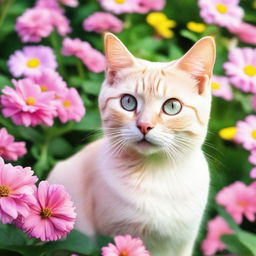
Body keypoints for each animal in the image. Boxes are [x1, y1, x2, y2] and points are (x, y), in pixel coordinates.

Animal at [47, 33, 215, 256]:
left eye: (172, 106)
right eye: (128, 102)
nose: (144, 125)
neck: (156, 173)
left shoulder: (183, 243)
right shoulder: (111, 234)